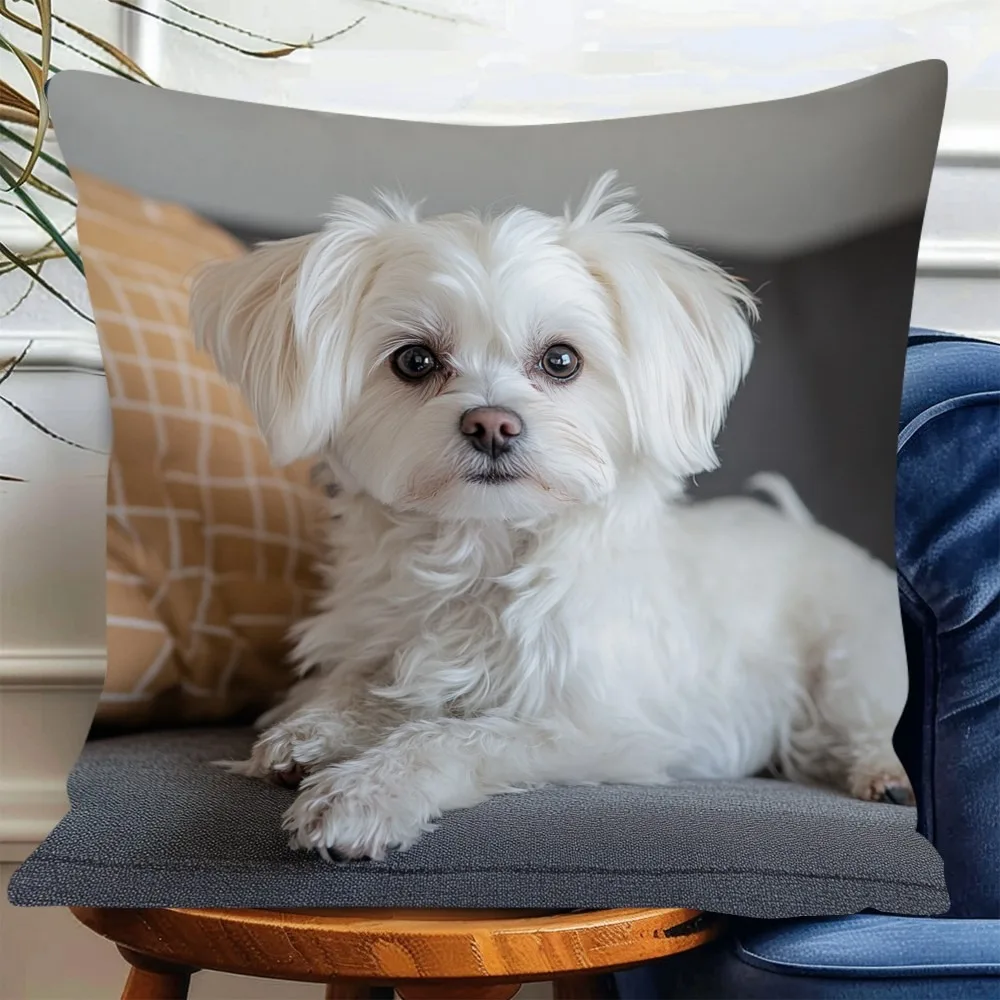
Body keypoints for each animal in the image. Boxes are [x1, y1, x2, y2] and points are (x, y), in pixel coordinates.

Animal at [189, 172, 914, 861]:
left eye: (561, 359)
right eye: (414, 360)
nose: (491, 424)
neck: (482, 552)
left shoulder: (591, 729)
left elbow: (452, 736)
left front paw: (363, 792)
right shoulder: (380, 647)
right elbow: (357, 687)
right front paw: (311, 731)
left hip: (851, 662)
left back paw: (887, 773)